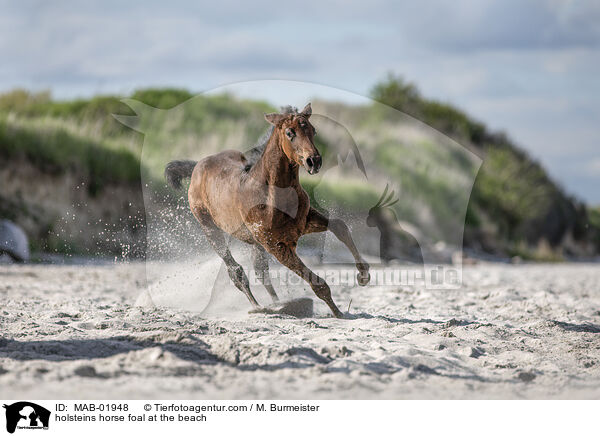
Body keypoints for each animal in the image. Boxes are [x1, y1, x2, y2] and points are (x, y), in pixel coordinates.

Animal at [165, 104, 370, 316]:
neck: (272, 193)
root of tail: (198, 166)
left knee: (260, 271)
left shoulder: (304, 223)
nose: (314, 161)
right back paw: (258, 307)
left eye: (313, 130)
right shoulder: (276, 245)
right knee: (236, 271)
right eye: (290, 133)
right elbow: (317, 283)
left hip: (253, 240)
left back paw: (278, 304)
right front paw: (339, 313)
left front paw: (363, 275)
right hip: (210, 228)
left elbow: (339, 226)